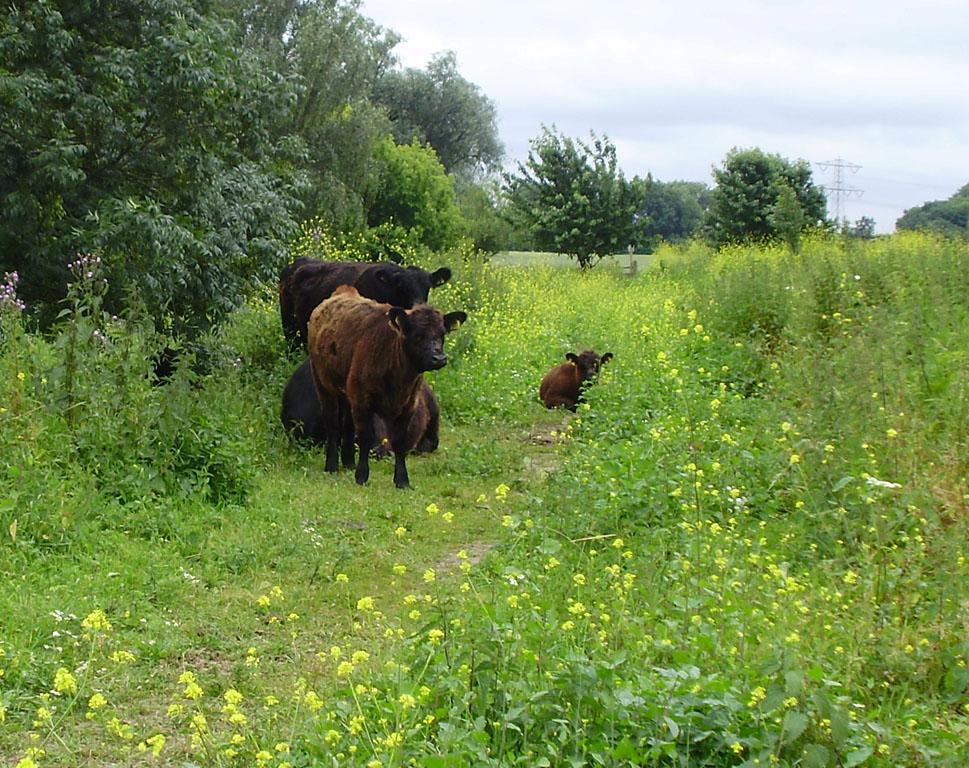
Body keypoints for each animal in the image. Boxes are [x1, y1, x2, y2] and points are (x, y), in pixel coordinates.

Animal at [306, 284, 466, 488]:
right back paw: (332, 466)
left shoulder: (408, 405)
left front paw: (402, 480)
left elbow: (400, 441)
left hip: (348, 393)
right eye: (417, 335)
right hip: (323, 384)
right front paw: (362, 476)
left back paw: (348, 462)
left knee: (347, 424)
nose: (439, 358)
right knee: (332, 423)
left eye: (442, 334)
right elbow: (366, 437)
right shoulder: (363, 401)